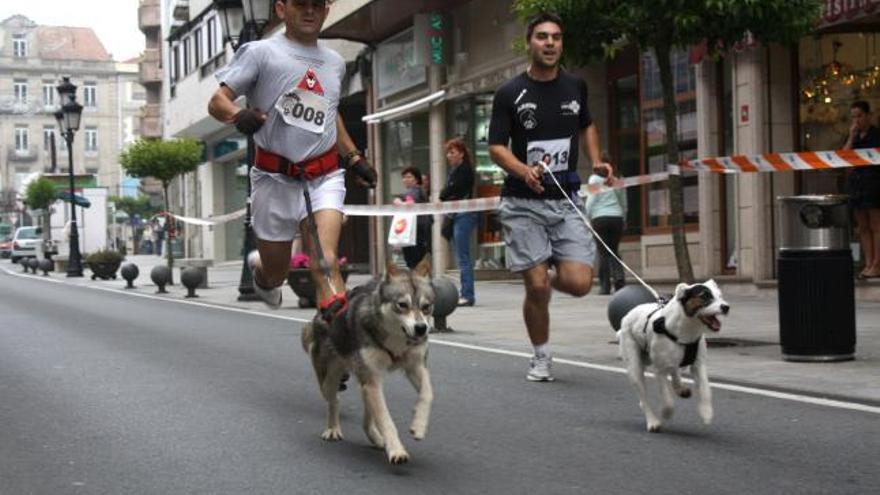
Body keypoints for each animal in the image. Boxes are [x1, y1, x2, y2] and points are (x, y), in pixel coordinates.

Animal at [300, 256, 434, 464]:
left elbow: (428, 394)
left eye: (426, 307)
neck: (395, 339)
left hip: (368, 382)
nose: (421, 329)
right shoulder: (371, 381)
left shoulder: (415, 367)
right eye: (402, 305)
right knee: (335, 401)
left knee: (366, 419)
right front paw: (396, 451)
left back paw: (376, 439)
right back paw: (333, 429)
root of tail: (324, 311)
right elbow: (386, 420)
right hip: (331, 382)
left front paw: (418, 426)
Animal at [616, 282, 732, 434]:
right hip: (634, 365)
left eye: (720, 295)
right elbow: (667, 399)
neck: (687, 329)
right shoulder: (659, 370)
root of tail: (627, 316)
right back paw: (652, 421)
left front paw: (706, 412)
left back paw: (681, 389)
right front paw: (666, 413)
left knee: (675, 371)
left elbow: (705, 390)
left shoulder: (699, 365)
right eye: (704, 296)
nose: (726, 307)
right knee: (643, 397)